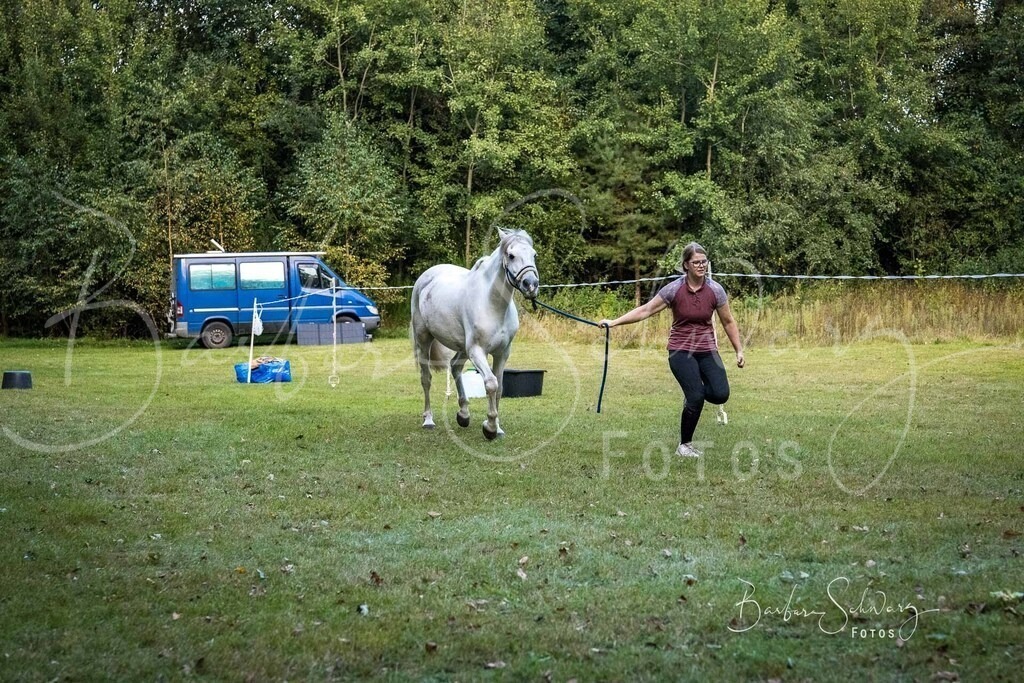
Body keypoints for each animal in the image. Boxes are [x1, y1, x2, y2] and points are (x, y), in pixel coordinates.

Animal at [411, 228, 540, 440]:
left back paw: (463, 415)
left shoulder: (502, 353)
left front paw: (498, 428)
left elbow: (500, 387)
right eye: (511, 255)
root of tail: (426, 277)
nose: (531, 284)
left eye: (534, 254)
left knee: (455, 367)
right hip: (424, 340)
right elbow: (491, 384)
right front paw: (490, 428)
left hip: (463, 347)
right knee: (426, 378)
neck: (492, 305)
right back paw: (428, 420)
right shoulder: (477, 351)